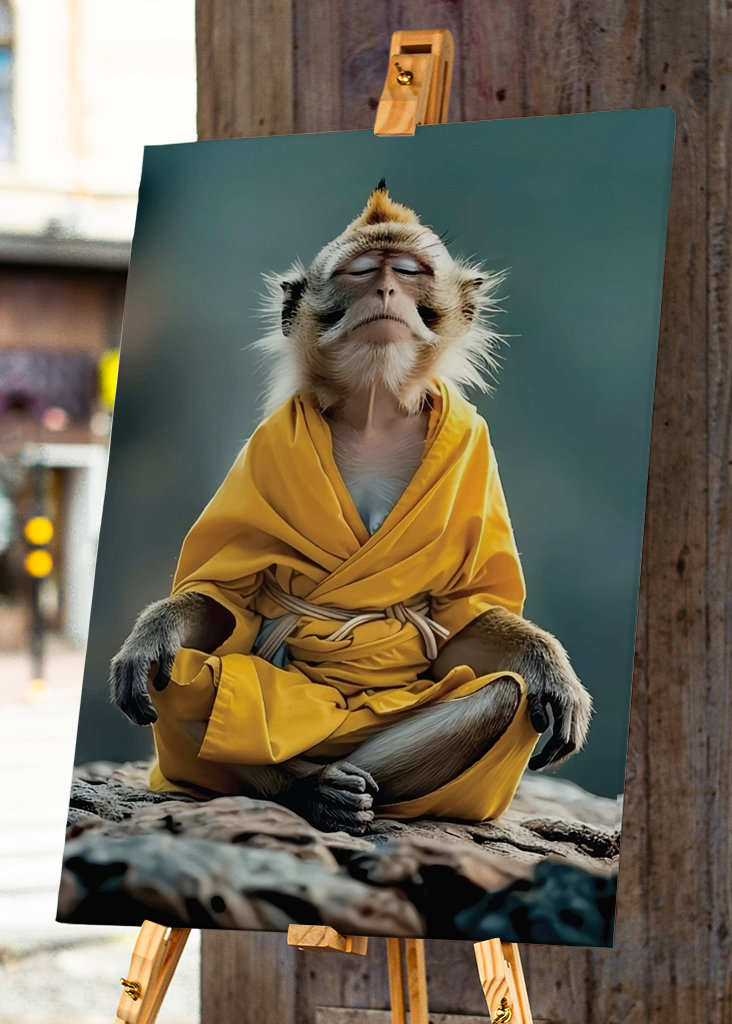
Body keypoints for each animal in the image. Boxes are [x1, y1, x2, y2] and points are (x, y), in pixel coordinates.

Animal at [110, 181, 592, 836]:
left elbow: (465, 621)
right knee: (188, 676)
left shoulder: (476, 447)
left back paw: (346, 788)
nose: (385, 292)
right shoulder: (265, 448)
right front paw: (151, 636)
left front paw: (551, 669)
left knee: (504, 696)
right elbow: (223, 600)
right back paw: (309, 790)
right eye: (361, 272)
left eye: (410, 272)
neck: (374, 409)